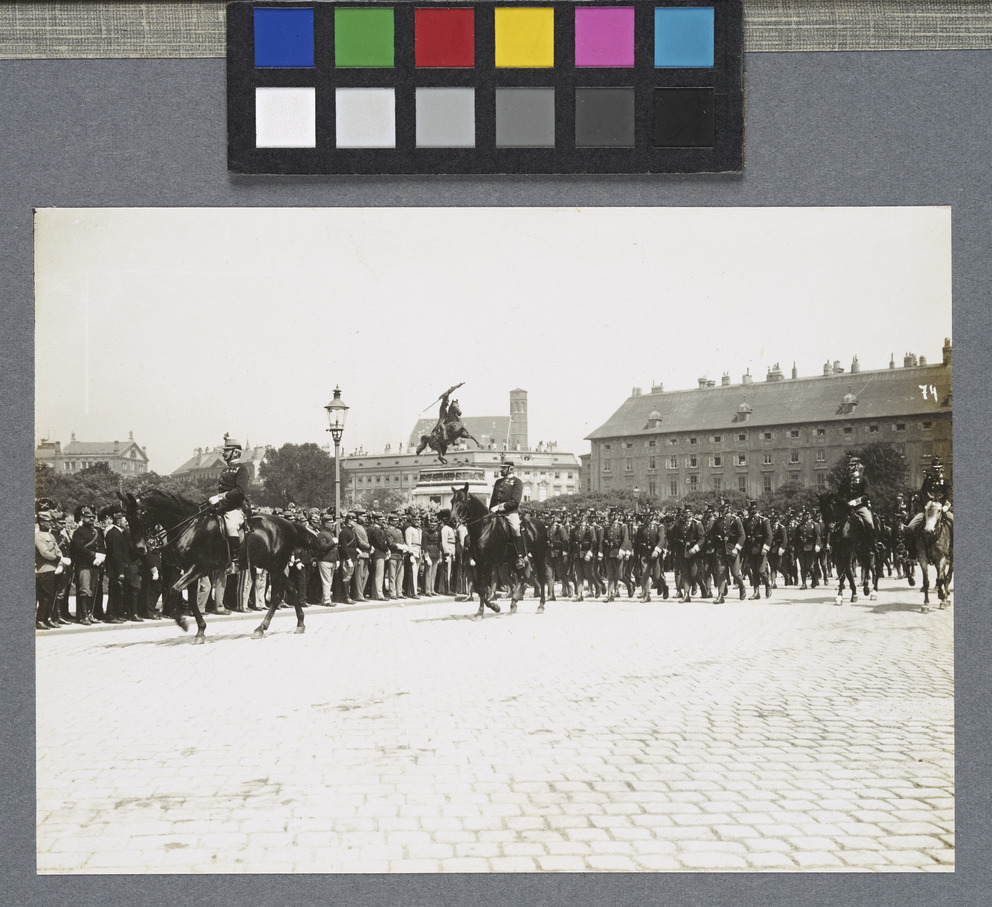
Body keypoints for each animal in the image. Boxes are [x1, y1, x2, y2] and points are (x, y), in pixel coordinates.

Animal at [119, 490, 300, 644]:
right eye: (127, 518)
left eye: (138, 516)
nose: (140, 549)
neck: (189, 526)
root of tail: (289, 524)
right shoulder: (189, 569)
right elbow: (191, 600)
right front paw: (200, 630)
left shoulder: (198, 568)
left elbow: (174, 591)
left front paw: (183, 622)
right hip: (273, 567)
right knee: (291, 590)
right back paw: (300, 624)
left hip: (276, 567)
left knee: (277, 595)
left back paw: (262, 628)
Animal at [450, 486, 552, 620]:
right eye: (452, 501)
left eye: (462, 501)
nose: (452, 520)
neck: (483, 527)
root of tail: (540, 523)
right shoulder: (477, 563)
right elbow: (479, 588)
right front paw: (492, 607)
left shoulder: (486, 563)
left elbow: (483, 587)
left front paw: (483, 611)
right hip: (515, 559)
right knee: (522, 577)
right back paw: (514, 601)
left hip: (538, 556)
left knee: (541, 577)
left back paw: (540, 605)